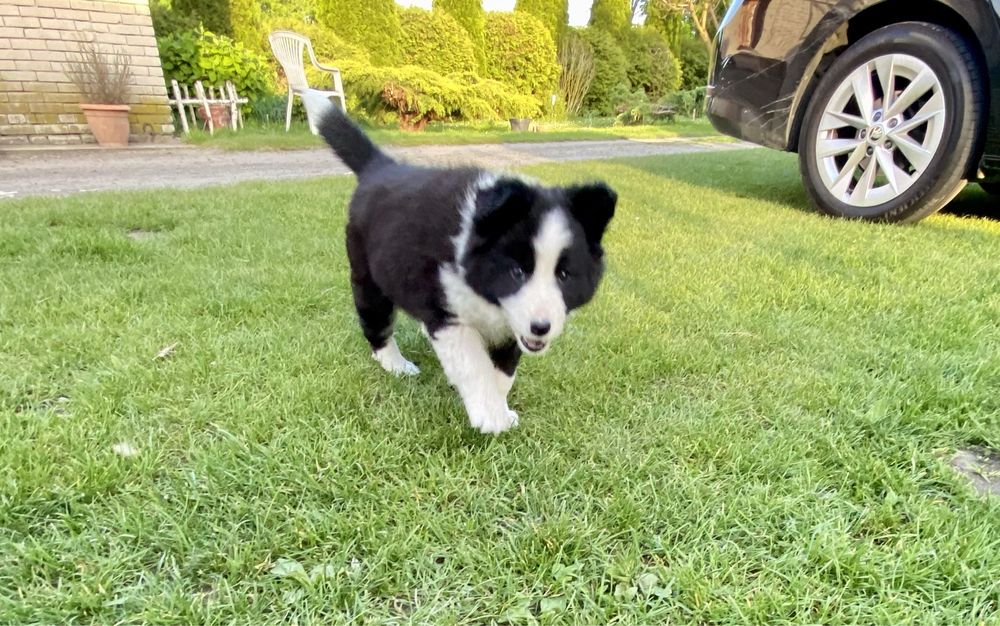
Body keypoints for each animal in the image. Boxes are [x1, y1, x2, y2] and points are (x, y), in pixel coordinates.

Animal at [300, 91, 616, 434]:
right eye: (517, 272)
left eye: (564, 275)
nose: (541, 328)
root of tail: (379, 167)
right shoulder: (447, 313)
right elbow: (474, 364)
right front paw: (490, 416)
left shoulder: (511, 323)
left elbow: (503, 370)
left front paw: (500, 407)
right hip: (368, 277)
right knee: (376, 325)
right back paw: (396, 364)